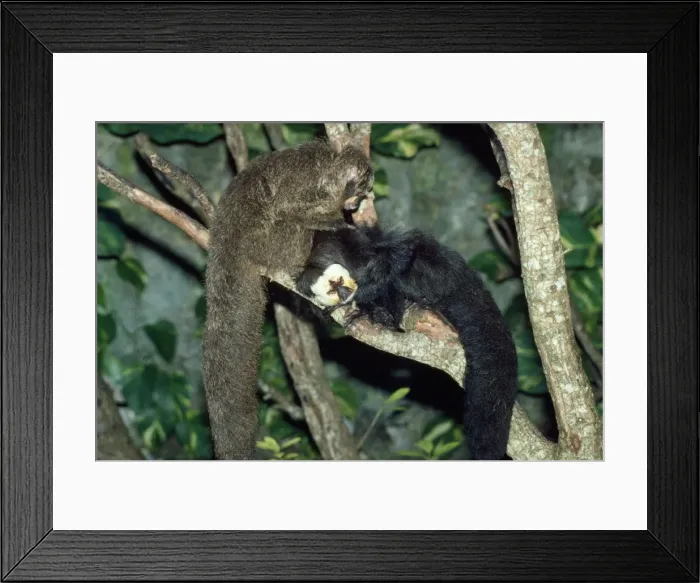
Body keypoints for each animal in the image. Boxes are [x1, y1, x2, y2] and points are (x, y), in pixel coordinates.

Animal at [202, 139, 374, 460]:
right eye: (358, 191)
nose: (356, 204)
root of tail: (226, 245)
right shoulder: (310, 184)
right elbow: (289, 208)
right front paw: (337, 225)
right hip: (269, 244)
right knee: (294, 226)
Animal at [296, 223, 518, 460]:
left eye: (338, 282)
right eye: (332, 289)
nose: (344, 291)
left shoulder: (353, 250)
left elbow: (398, 255)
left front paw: (369, 295)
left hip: (439, 276)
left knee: (406, 266)